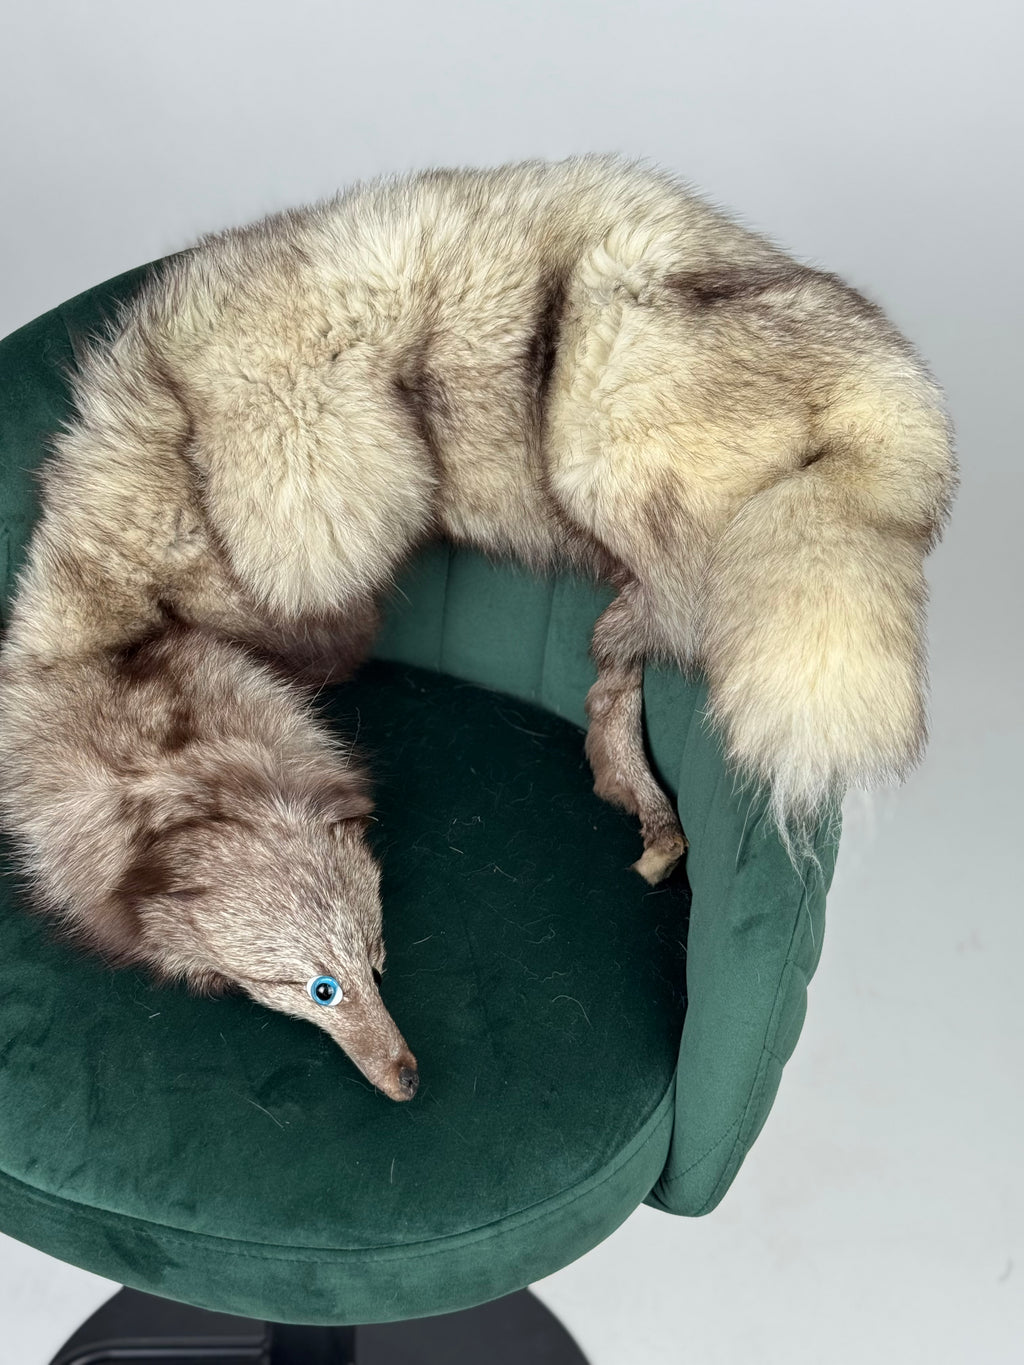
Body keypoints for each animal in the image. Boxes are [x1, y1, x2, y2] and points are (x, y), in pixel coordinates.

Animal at [0, 155, 956, 1099]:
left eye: (364, 966)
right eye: (314, 989)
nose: (404, 1079)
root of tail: (894, 394)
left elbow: (332, 627)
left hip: (603, 449)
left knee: (672, 619)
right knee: (632, 655)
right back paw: (639, 797)